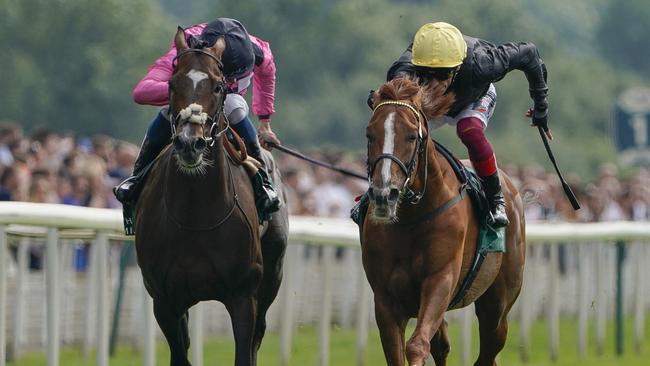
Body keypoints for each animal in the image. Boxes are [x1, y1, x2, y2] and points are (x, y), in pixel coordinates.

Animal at [135, 28, 288, 366]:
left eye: (218, 86)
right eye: (171, 84)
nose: (190, 144)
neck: (196, 214)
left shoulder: (243, 296)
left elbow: (245, 352)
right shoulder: (164, 301)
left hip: (272, 274)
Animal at [362, 78, 524, 364]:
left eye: (411, 136)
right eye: (370, 134)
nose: (383, 194)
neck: (411, 219)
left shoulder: (440, 280)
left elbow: (417, 345)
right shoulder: (385, 299)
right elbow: (399, 351)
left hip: (498, 303)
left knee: (489, 348)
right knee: (443, 345)